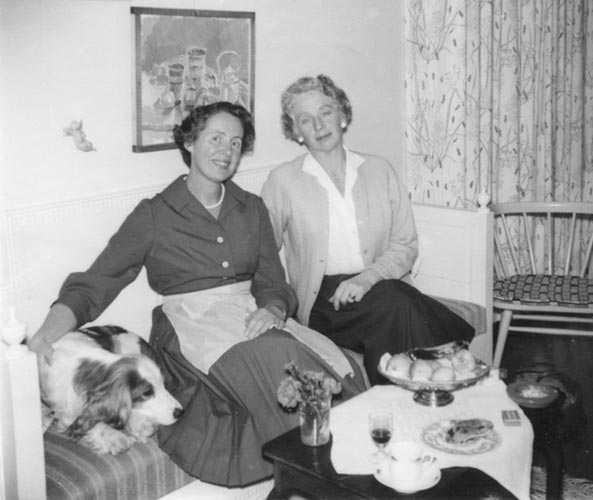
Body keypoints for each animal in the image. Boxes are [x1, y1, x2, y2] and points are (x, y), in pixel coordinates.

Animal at [38, 325, 183, 455]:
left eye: (163, 384)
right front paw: (116, 438)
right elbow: (92, 421)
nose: (180, 412)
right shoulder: (65, 409)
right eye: (147, 392)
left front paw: (140, 424)